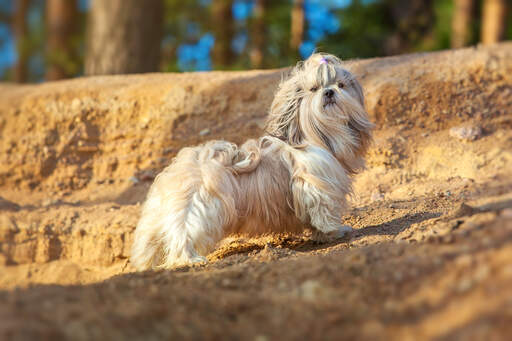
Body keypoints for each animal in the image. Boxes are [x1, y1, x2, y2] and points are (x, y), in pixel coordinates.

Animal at [131, 53, 372, 270]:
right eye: (313, 89)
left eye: (341, 85)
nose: (329, 92)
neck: (317, 136)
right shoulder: (318, 188)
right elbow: (324, 211)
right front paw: (335, 231)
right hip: (197, 211)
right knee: (183, 236)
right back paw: (189, 260)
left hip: (158, 218)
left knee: (151, 242)